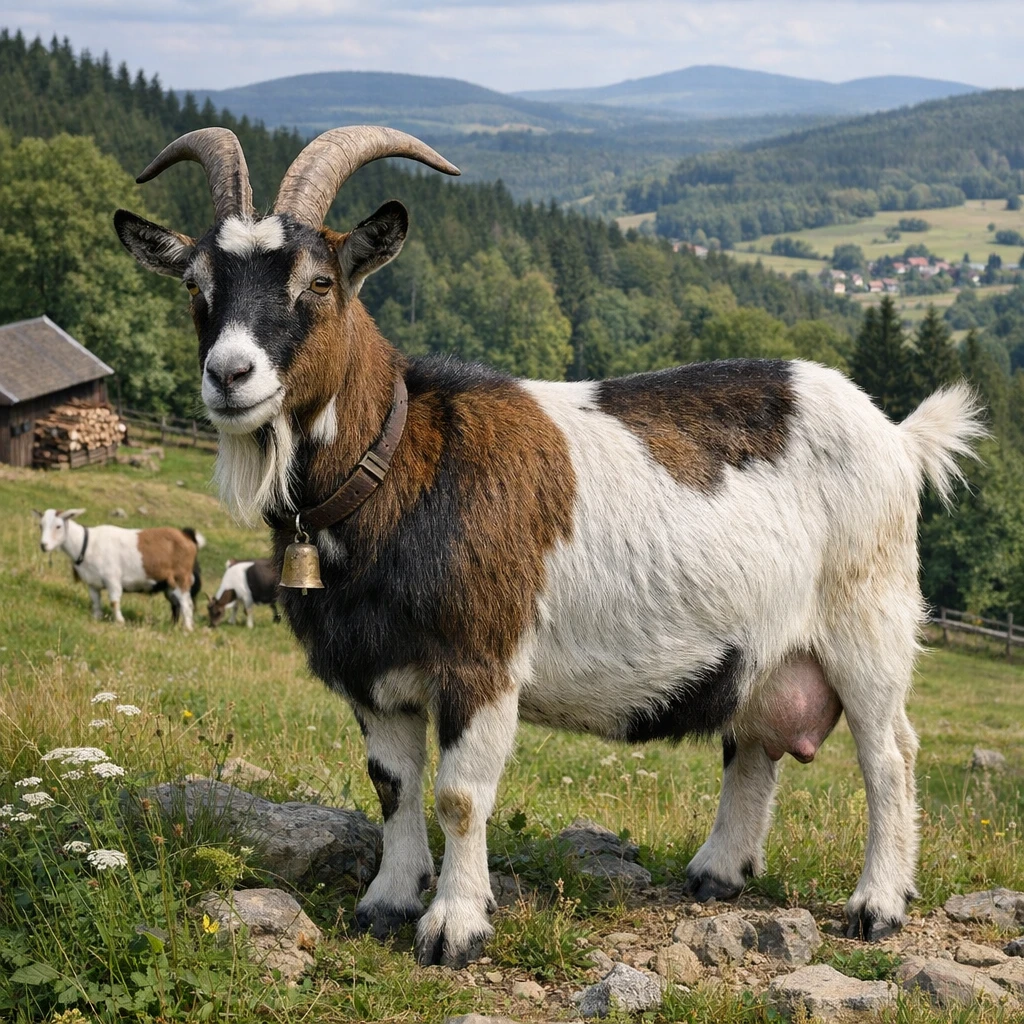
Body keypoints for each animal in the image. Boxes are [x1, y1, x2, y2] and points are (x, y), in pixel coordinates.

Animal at [36, 509, 205, 630]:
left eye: (58, 526)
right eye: (41, 525)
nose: (43, 545)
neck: (87, 544)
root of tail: (187, 536)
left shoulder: (112, 579)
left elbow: (114, 602)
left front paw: (120, 621)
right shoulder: (93, 583)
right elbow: (95, 601)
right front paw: (97, 618)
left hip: (181, 578)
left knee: (186, 604)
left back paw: (187, 629)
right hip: (170, 585)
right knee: (176, 604)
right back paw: (173, 626)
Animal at [115, 125, 984, 968]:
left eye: (320, 282)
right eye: (195, 285)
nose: (230, 375)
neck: (403, 464)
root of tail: (898, 438)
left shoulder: (482, 661)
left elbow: (459, 795)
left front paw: (453, 928)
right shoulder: (373, 673)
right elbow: (392, 785)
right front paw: (388, 902)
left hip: (868, 618)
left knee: (890, 755)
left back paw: (877, 907)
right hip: (764, 649)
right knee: (752, 747)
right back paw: (716, 873)